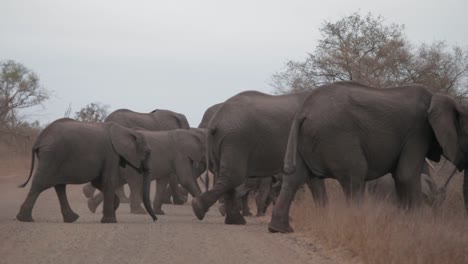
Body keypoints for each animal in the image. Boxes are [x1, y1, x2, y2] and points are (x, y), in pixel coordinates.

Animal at [16, 118, 157, 224]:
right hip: (52, 156)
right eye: (147, 152)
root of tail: (39, 139)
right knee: (40, 183)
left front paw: (110, 209)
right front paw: (110, 221)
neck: (127, 130)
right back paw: (25, 219)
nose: (155, 219)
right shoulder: (111, 154)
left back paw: (71, 219)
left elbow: (99, 182)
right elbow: (109, 181)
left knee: (59, 186)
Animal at [190, 89, 326, 225]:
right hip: (236, 140)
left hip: (226, 141)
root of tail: (215, 122)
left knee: (228, 178)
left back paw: (231, 218)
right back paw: (201, 208)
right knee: (233, 177)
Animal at [268, 81, 466, 233]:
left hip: (306, 137)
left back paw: (280, 229)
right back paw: (355, 225)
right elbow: (406, 175)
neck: (437, 97)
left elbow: (402, 177)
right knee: (355, 176)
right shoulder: (418, 132)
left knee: (294, 177)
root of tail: (303, 111)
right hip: (338, 138)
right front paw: (418, 227)